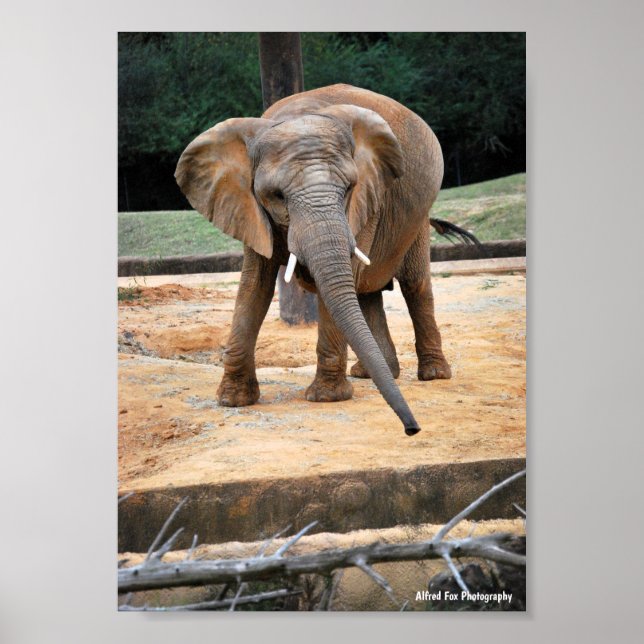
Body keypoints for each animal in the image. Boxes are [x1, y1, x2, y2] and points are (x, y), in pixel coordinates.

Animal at [175, 83, 468, 436]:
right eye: (277, 195)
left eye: (348, 188)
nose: (412, 429)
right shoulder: (247, 206)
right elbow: (253, 285)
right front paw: (232, 400)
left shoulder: (366, 197)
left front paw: (327, 398)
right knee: (365, 292)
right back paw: (371, 373)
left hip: (417, 220)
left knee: (414, 285)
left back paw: (434, 375)